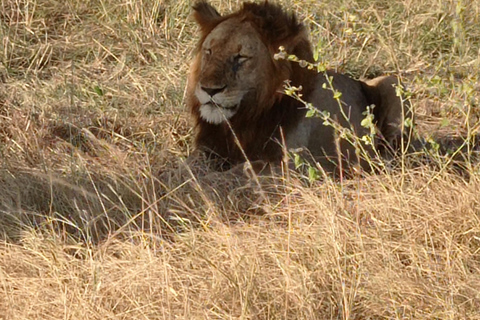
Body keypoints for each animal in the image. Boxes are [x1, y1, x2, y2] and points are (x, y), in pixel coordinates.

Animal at [186, 0, 410, 175]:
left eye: (241, 57)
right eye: (209, 51)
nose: (209, 89)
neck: (246, 118)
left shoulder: (294, 165)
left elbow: (244, 169)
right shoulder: (209, 149)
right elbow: (191, 162)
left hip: (393, 83)